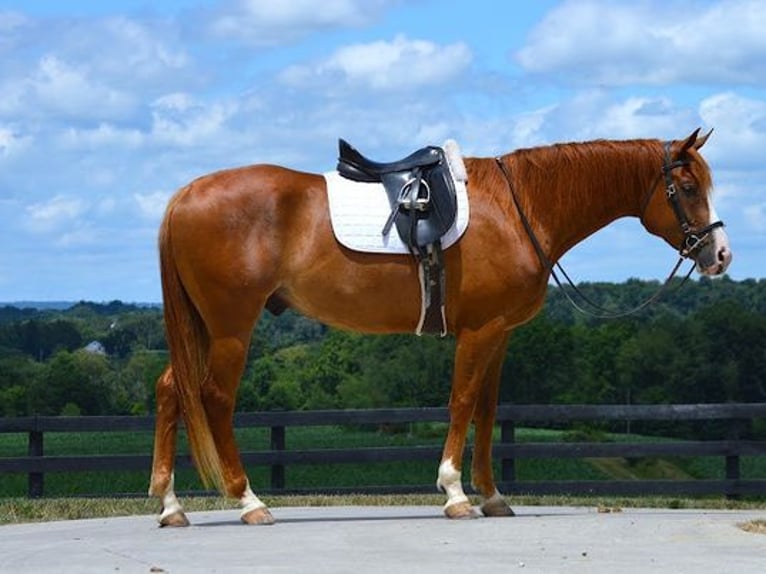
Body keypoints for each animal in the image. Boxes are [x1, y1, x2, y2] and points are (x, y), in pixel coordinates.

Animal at [150, 129, 732, 528]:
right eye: (686, 186)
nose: (720, 255)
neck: (519, 207)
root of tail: (184, 195)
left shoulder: (500, 333)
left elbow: (488, 411)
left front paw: (493, 496)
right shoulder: (479, 331)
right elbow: (462, 402)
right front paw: (454, 494)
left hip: (202, 328)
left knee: (171, 390)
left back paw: (170, 505)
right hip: (230, 327)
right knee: (214, 398)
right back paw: (249, 501)